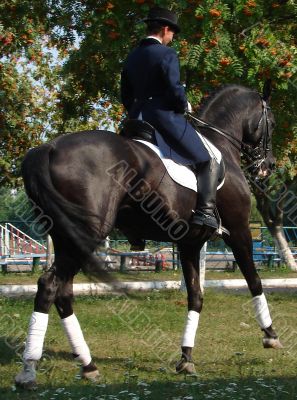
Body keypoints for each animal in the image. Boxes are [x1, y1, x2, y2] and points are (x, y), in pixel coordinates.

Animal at [15, 83, 280, 386]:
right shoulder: (238, 230)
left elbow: (195, 296)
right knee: (49, 285)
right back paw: (28, 370)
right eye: (272, 122)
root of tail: (48, 148)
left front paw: (186, 357)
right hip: (84, 236)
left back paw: (88, 364)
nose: (268, 165)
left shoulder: (189, 242)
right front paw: (270, 335)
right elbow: (254, 280)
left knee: (63, 292)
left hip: (65, 238)